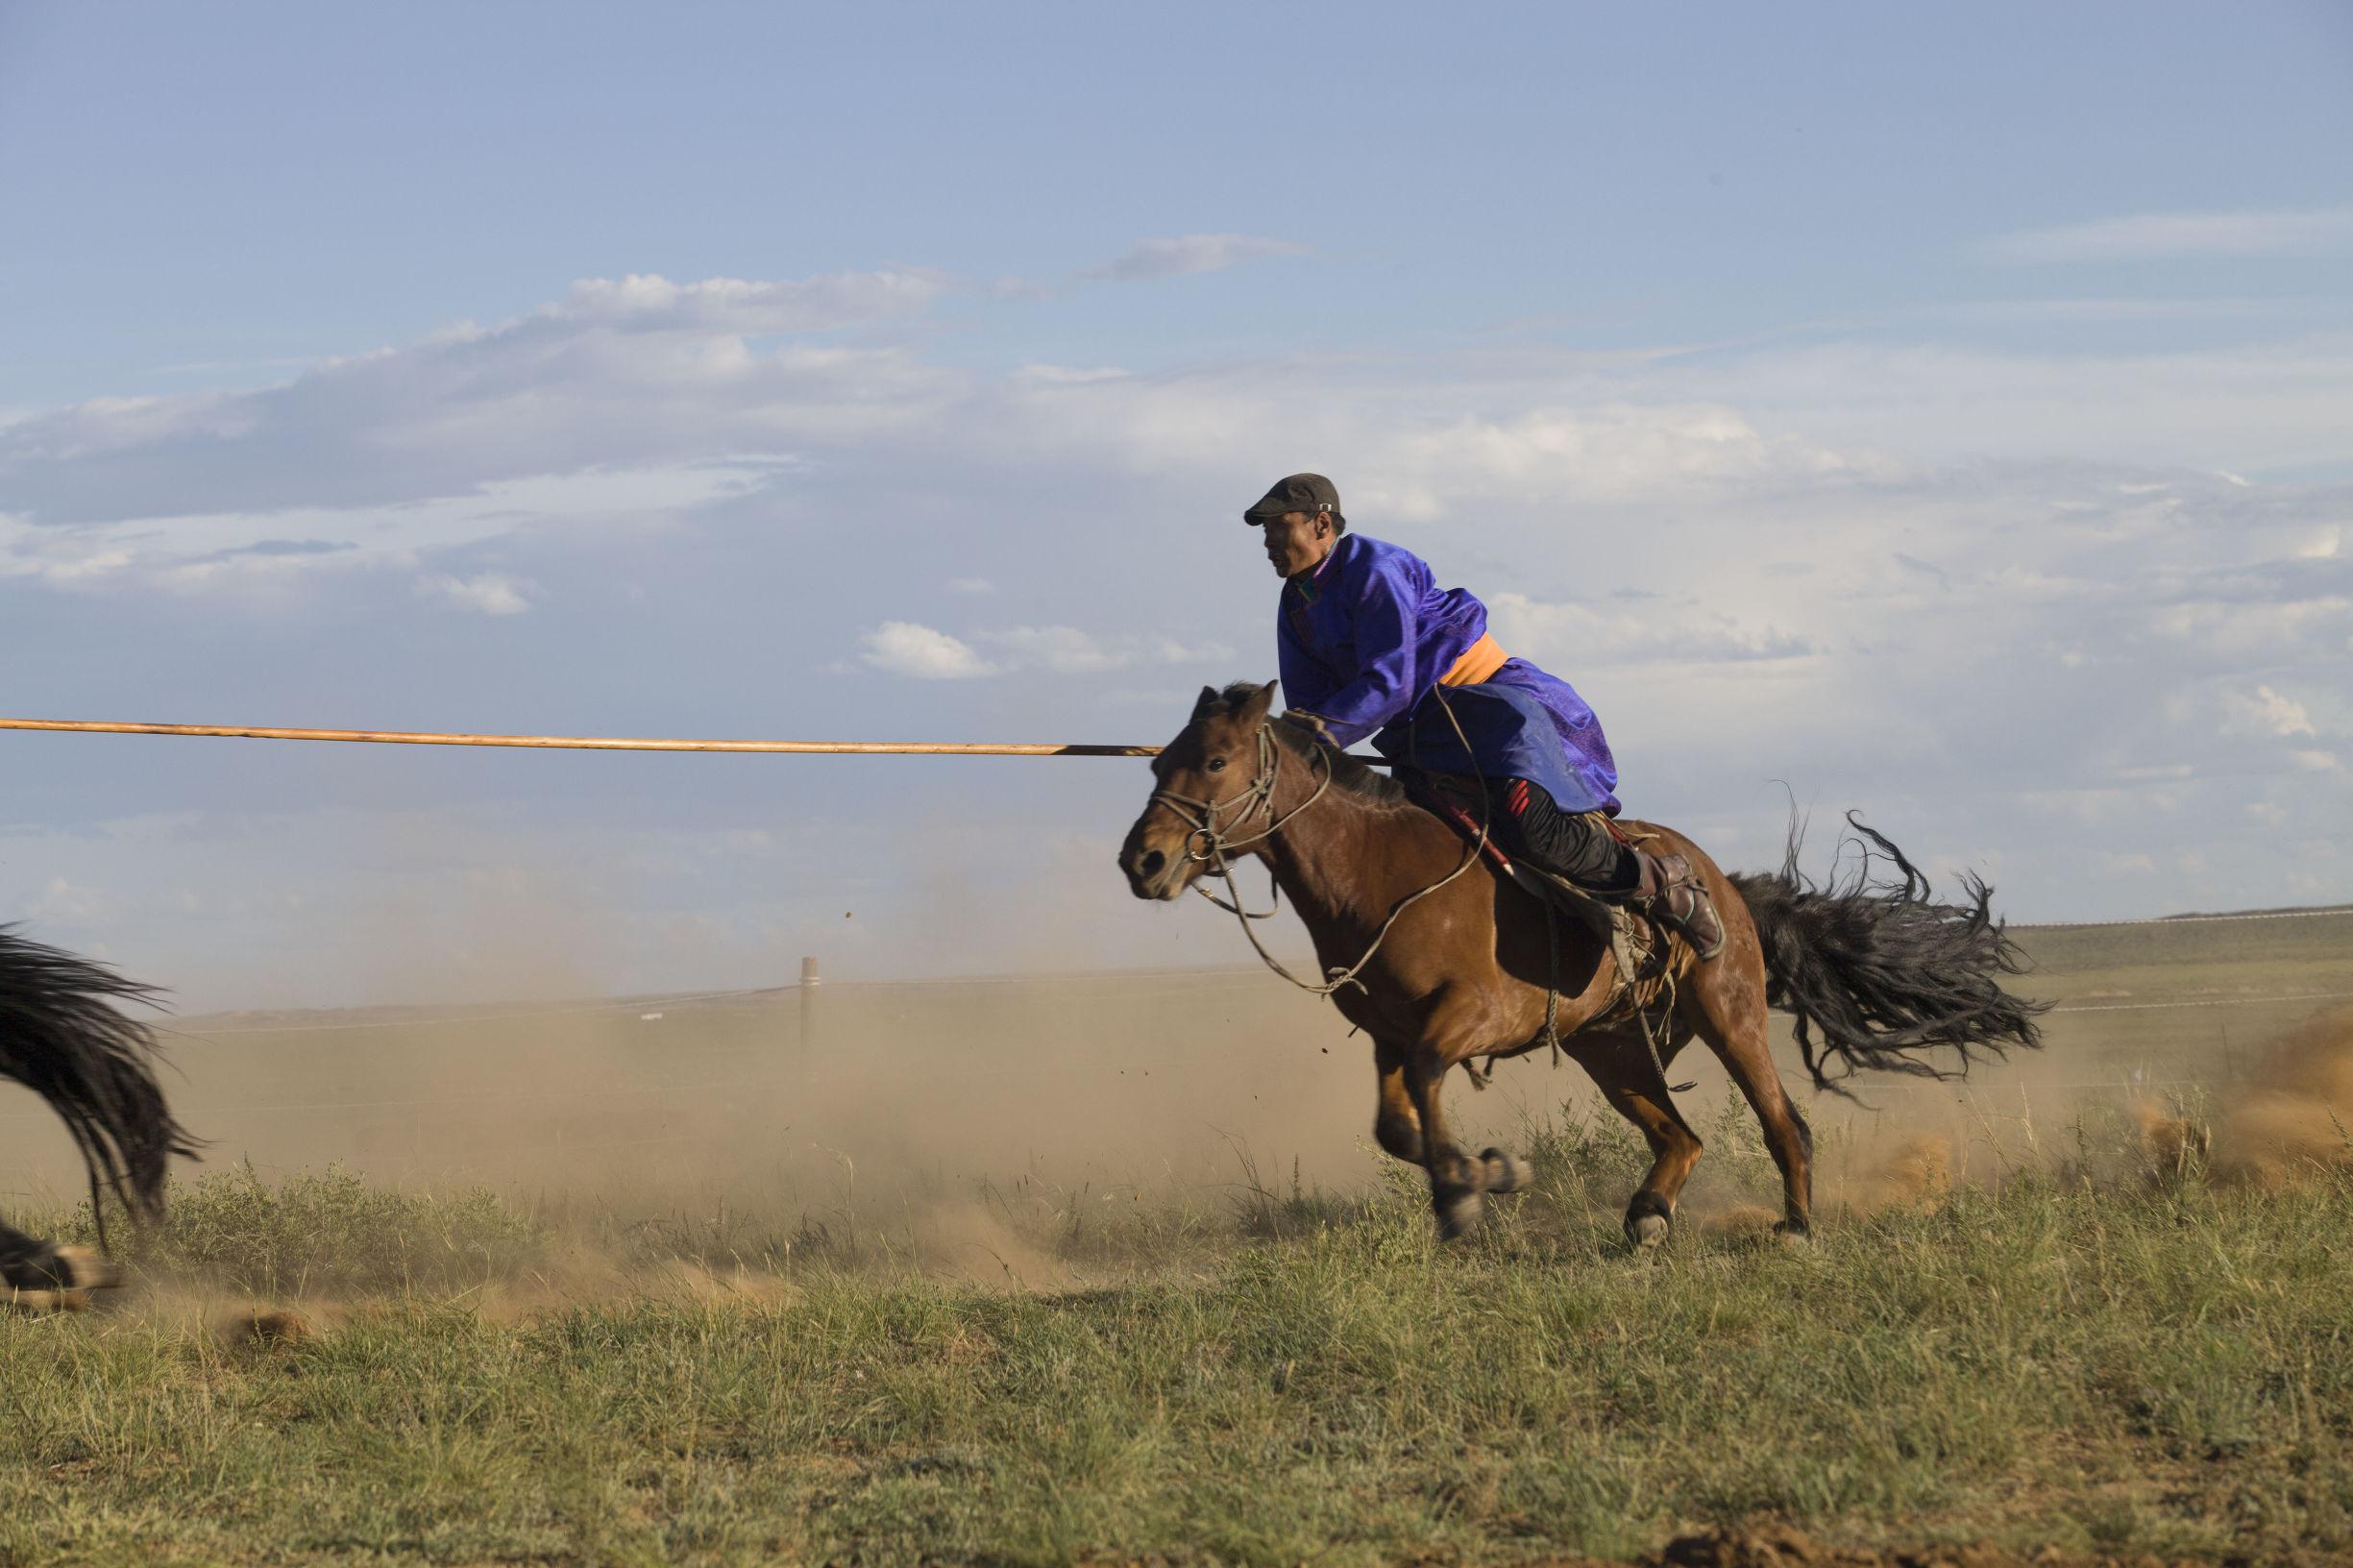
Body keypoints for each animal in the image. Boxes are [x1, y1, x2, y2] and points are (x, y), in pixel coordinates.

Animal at [1115, 677, 2042, 1242]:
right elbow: (1394, 1124)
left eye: (1215, 760)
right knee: (1680, 1134)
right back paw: (1648, 1214)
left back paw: (1794, 1228)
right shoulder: (1386, 1033)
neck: (1381, 868)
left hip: (1729, 1013)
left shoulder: (1473, 1014)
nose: (1143, 861)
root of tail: (1727, 886)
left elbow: (1427, 1080)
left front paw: (1465, 1188)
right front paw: (1485, 1171)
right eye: (1162, 760)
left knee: (1785, 1123)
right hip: (1611, 1048)